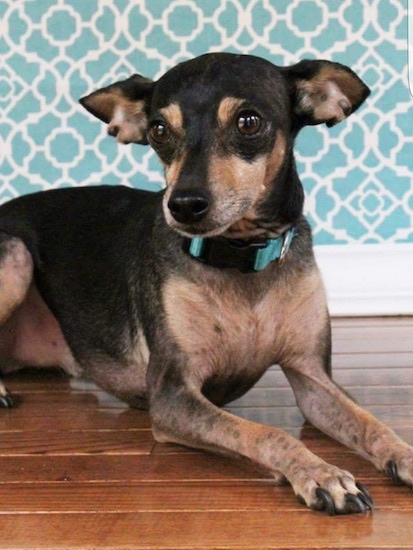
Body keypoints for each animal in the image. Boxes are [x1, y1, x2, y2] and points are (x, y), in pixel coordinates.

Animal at [0, 54, 412, 516]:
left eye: (248, 122)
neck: (242, 260)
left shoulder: (312, 377)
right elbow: (267, 433)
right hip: (14, 253)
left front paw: (405, 456)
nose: (182, 204)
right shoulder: (171, 394)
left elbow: (371, 423)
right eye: (159, 130)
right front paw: (321, 473)